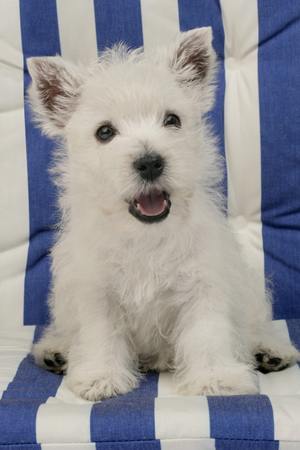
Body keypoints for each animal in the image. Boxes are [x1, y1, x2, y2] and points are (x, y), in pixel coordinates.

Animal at [27, 28, 298, 400]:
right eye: (105, 132)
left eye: (172, 120)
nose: (150, 162)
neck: (145, 236)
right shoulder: (95, 292)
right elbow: (100, 334)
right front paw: (101, 377)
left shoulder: (204, 284)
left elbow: (208, 333)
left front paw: (215, 378)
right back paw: (55, 351)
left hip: (250, 292)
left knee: (254, 324)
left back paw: (270, 350)